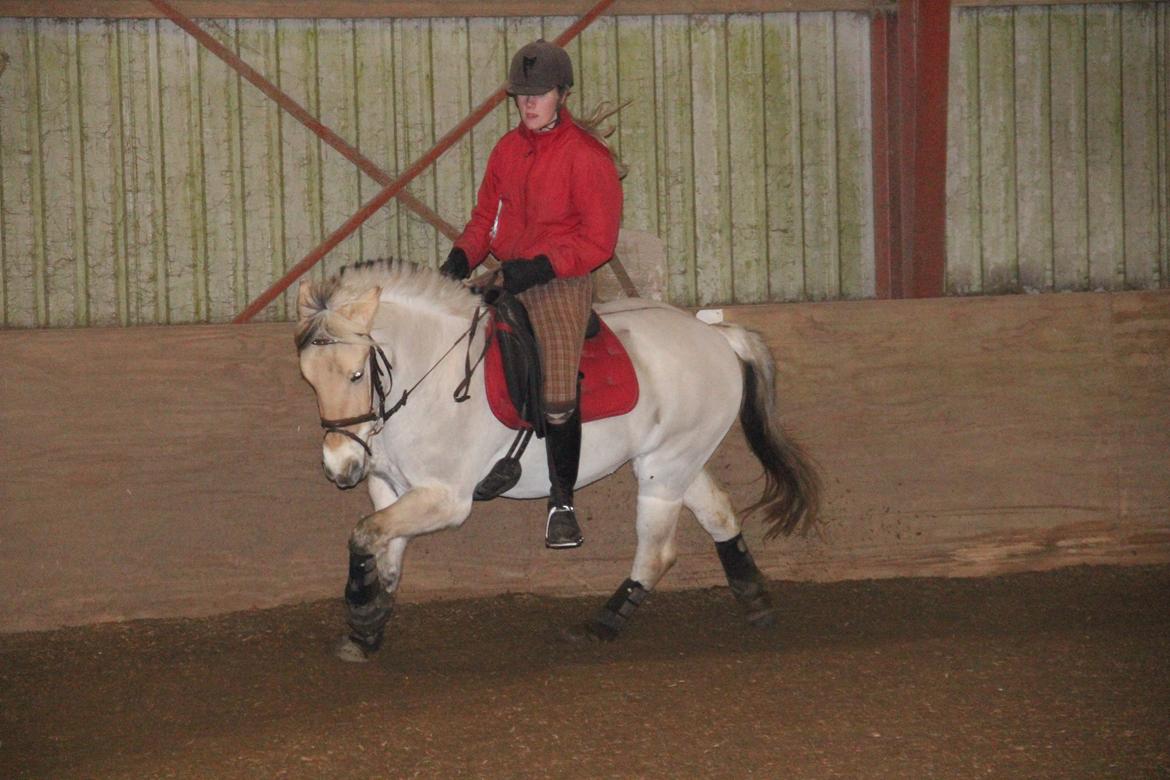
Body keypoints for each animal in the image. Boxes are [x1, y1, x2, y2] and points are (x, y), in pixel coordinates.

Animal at [295, 259, 820, 662]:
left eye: (357, 373)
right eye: (309, 379)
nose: (339, 467)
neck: (428, 376)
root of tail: (714, 335)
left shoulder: (446, 498)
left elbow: (365, 533)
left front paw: (361, 612)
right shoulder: (390, 486)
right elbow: (384, 550)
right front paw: (369, 626)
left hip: (667, 465)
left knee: (658, 551)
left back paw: (602, 624)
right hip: (675, 457)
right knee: (719, 514)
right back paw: (755, 601)